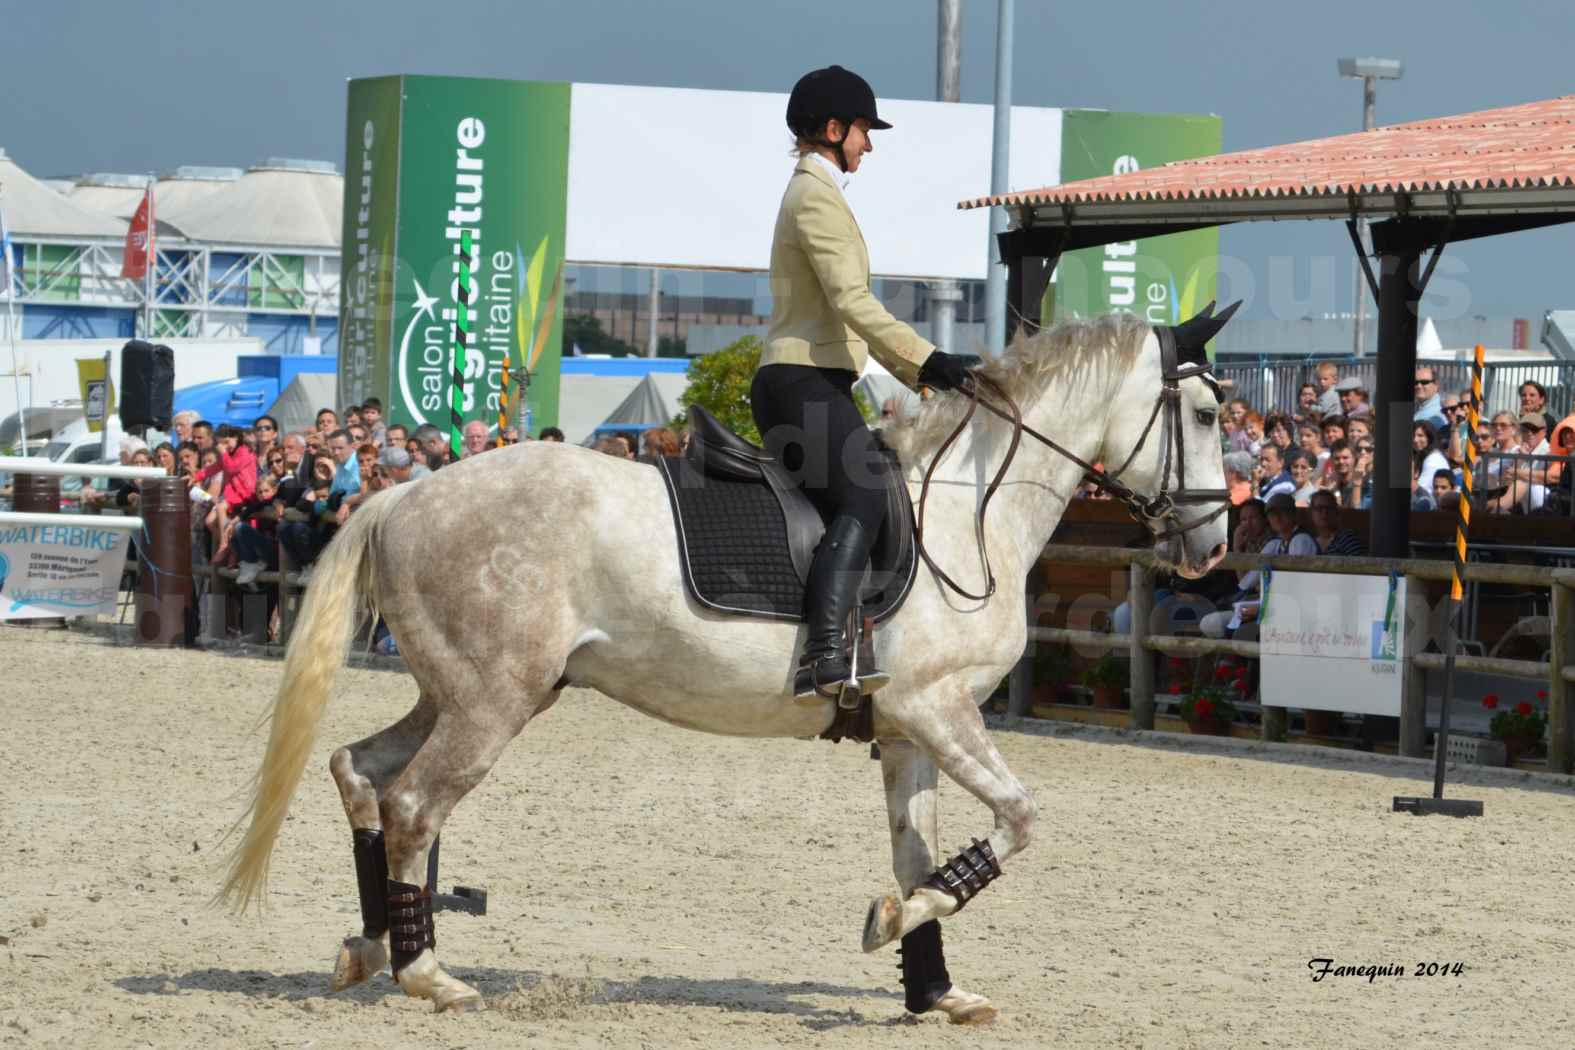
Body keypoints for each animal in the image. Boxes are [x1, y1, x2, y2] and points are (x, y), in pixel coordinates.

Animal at [222, 310, 1228, 1026]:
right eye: (1208, 413)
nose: (1212, 545)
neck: (966, 510)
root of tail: (402, 494)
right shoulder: (937, 710)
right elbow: (1018, 820)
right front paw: (891, 926)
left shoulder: (910, 731)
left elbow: (917, 854)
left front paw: (932, 986)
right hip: (490, 704)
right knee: (412, 805)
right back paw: (427, 972)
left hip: (465, 693)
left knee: (360, 771)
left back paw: (371, 948)